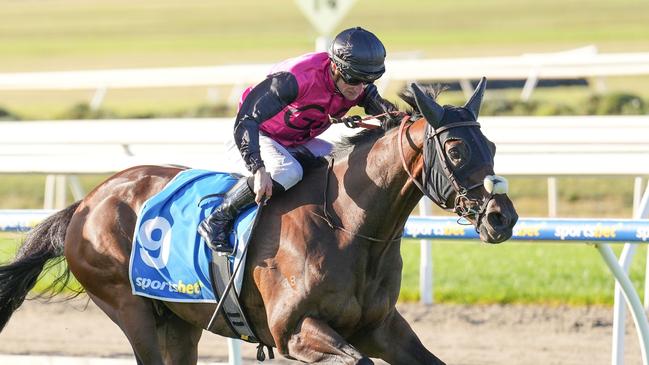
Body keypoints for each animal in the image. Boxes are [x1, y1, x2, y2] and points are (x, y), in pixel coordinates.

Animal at [0, 77, 516, 364]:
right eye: (456, 149)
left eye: (492, 145)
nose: (503, 217)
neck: (348, 228)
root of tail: (88, 201)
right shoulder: (296, 331)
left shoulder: (380, 327)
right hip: (130, 309)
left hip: (180, 318)